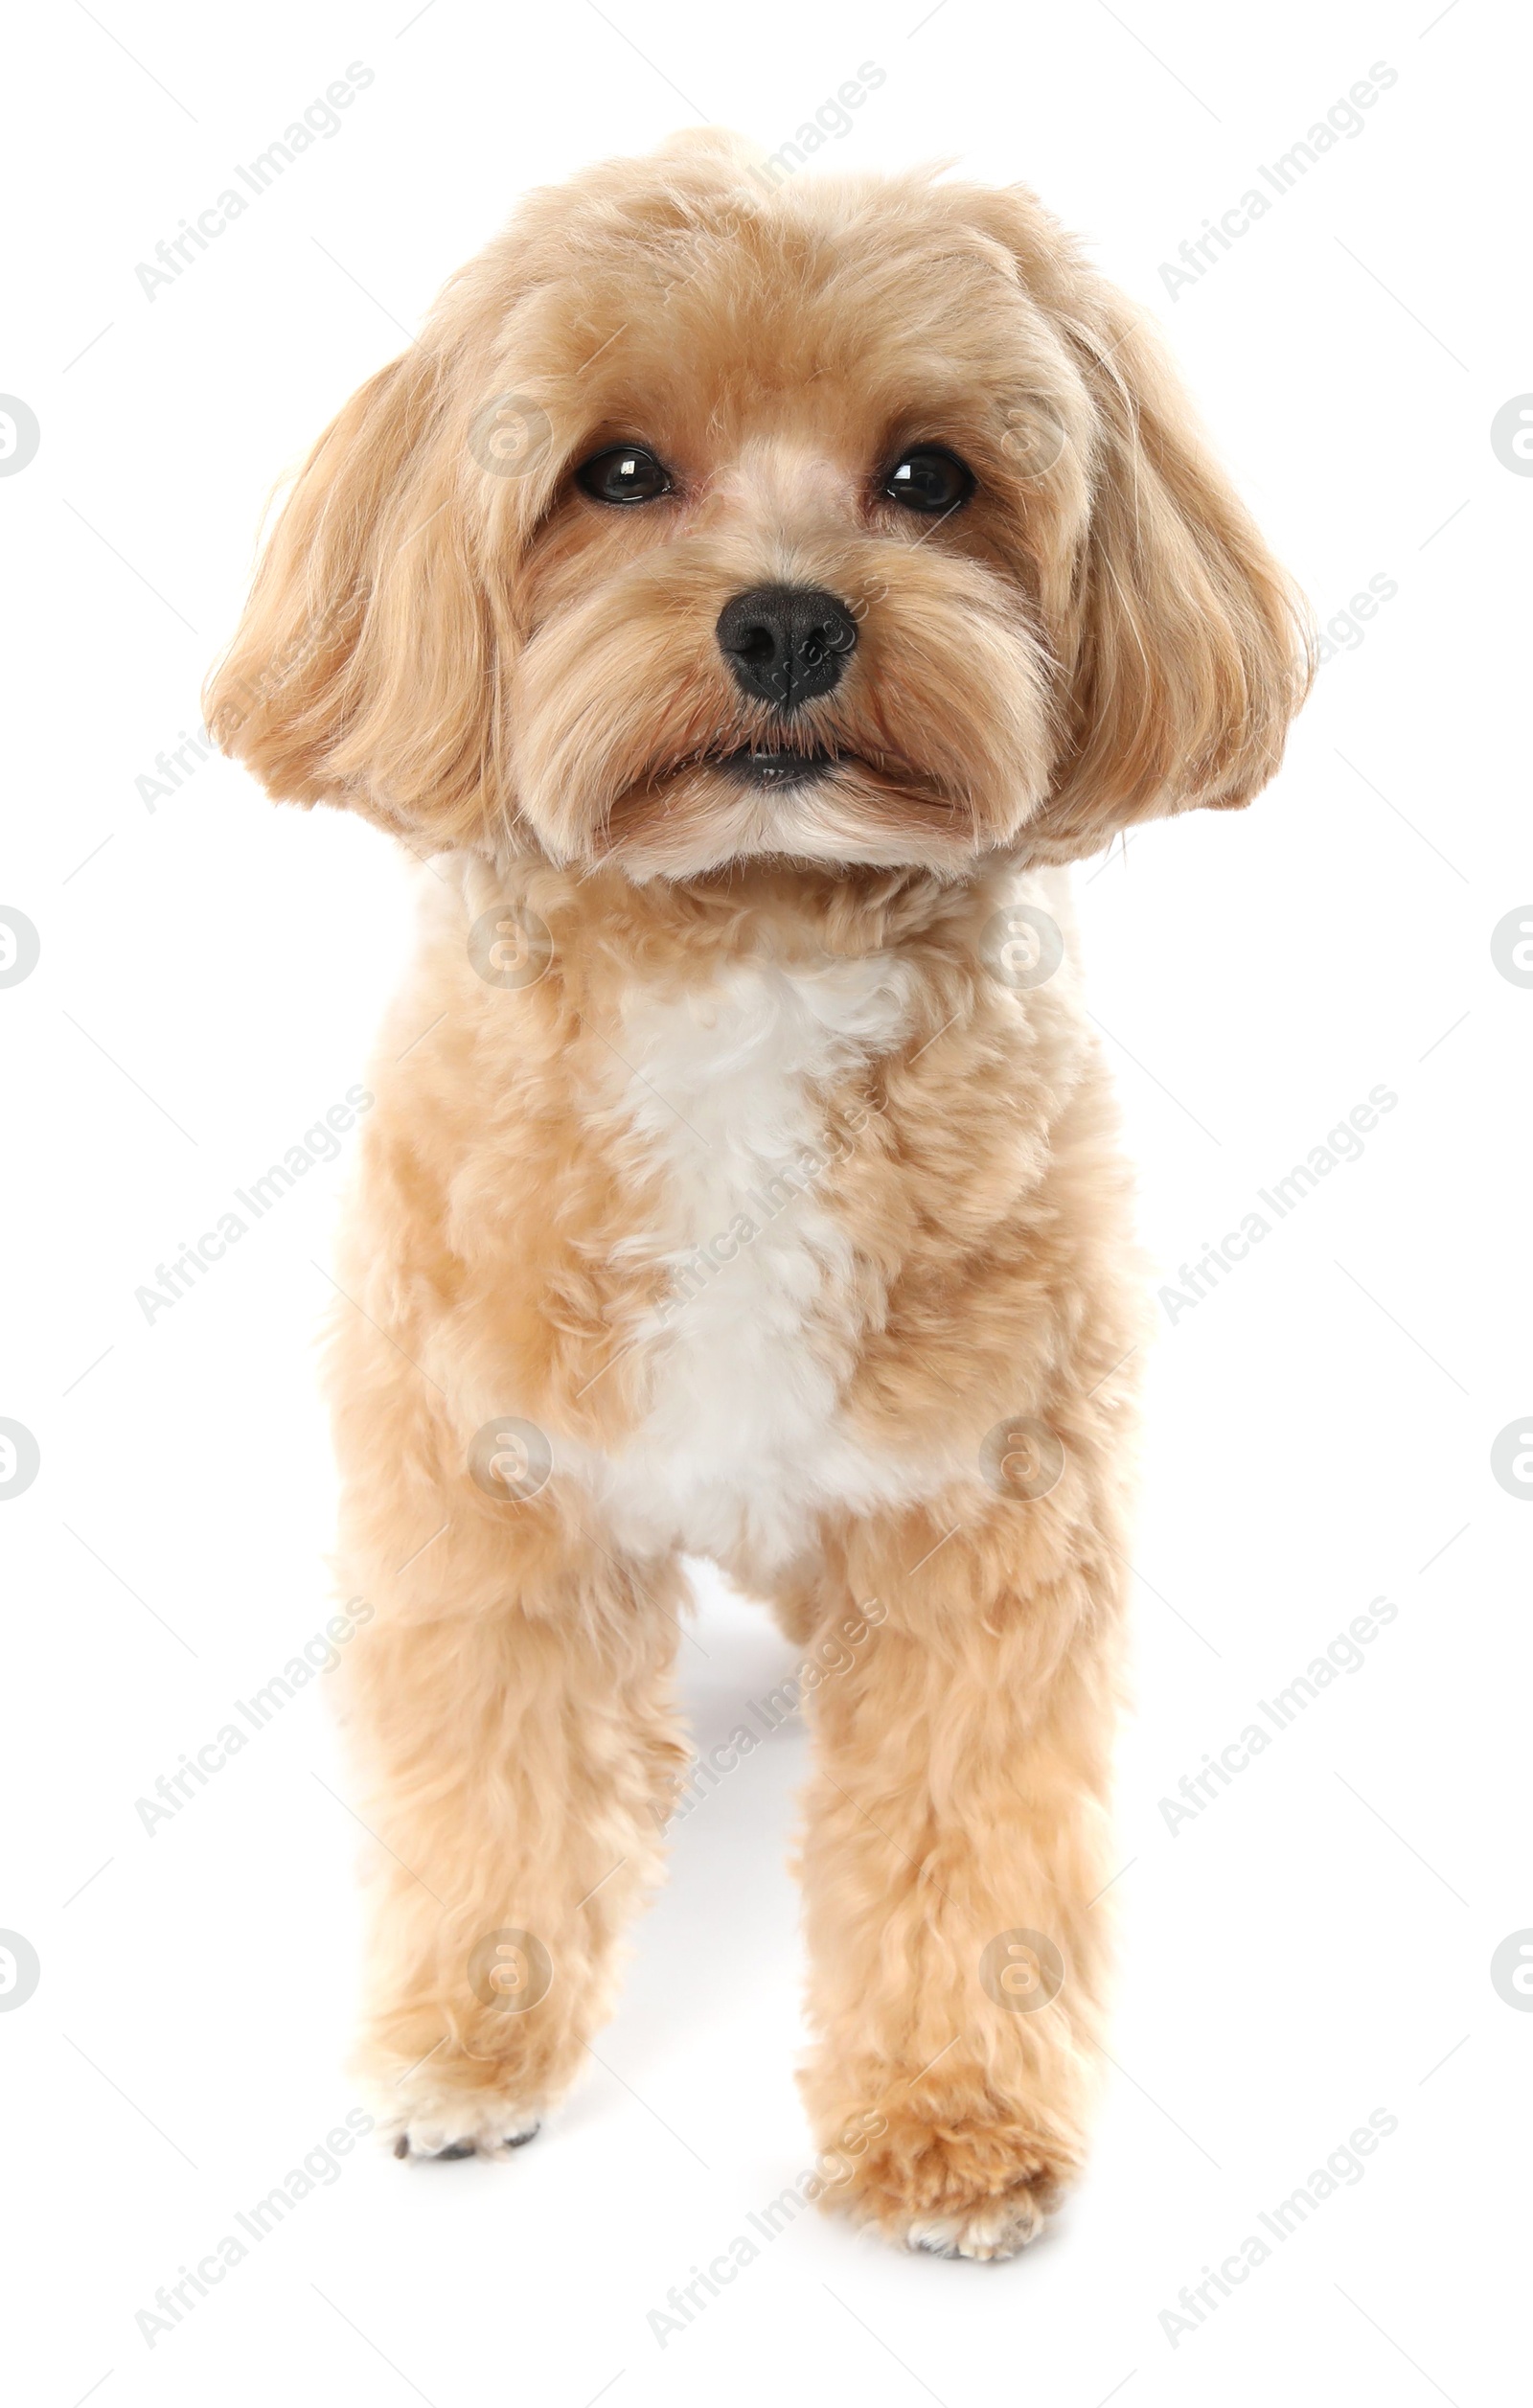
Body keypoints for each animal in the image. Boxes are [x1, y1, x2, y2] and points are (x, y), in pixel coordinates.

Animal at [203, 131, 1299, 2263]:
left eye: (931, 476)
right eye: (617, 470)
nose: (788, 624)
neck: (750, 942)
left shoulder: (983, 1516)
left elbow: (964, 1836)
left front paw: (954, 2121)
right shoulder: (488, 1493)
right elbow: (497, 1779)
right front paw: (470, 2039)